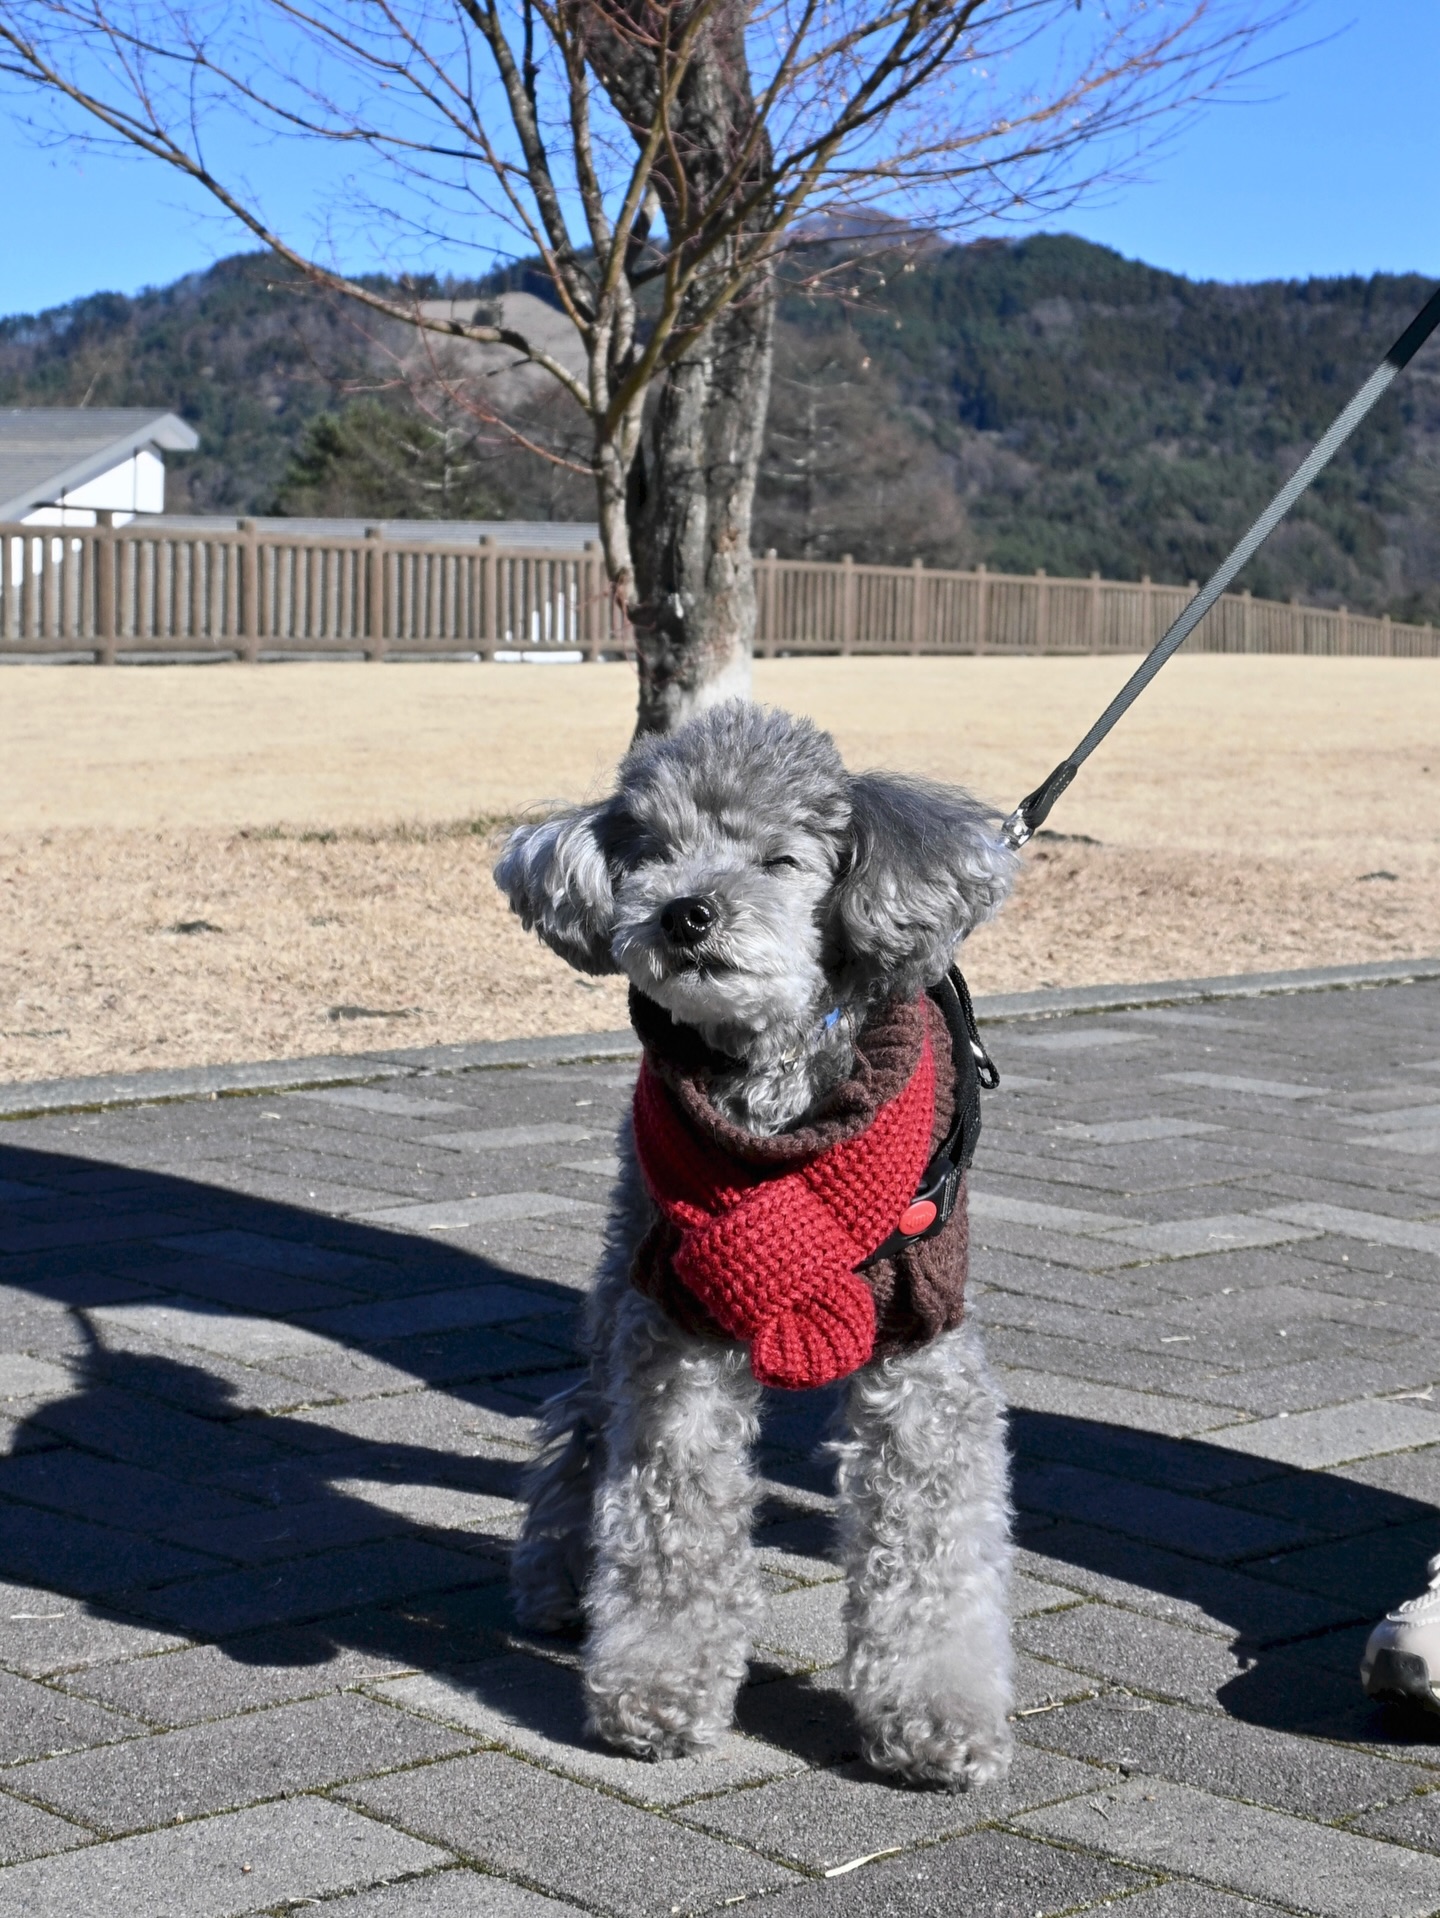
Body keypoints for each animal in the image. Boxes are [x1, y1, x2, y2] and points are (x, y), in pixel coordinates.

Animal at [494, 700, 1018, 1789]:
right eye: (652, 852)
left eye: (782, 859)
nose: (686, 913)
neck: (776, 1104)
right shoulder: (679, 1332)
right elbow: (670, 1519)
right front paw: (655, 1691)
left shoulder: (923, 1337)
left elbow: (935, 1541)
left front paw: (939, 1715)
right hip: (628, 1265)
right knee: (582, 1422)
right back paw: (559, 1584)